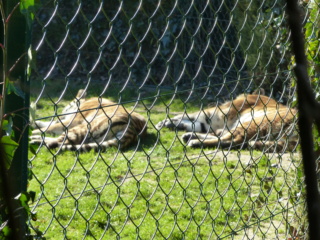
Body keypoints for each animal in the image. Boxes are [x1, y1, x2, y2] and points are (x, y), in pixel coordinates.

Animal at [156, 93, 298, 151]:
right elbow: (196, 122)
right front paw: (169, 123)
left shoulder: (215, 113)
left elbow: (190, 115)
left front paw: (166, 122)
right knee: (227, 138)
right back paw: (189, 136)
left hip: (254, 123)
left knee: (232, 140)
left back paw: (194, 142)